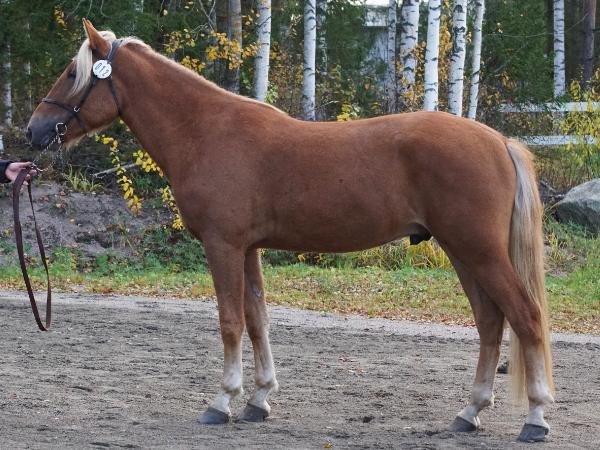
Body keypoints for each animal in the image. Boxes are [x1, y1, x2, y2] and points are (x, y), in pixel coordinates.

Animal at [26, 20, 554, 442]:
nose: (34, 131)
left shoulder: (222, 245)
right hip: (463, 252)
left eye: (72, 74)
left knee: (525, 317)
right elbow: (258, 319)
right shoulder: (248, 249)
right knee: (490, 322)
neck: (206, 131)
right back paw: (469, 412)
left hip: (478, 250)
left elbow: (230, 322)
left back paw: (536, 419)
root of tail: (499, 140)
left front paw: (222, 402)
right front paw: (259, 400)